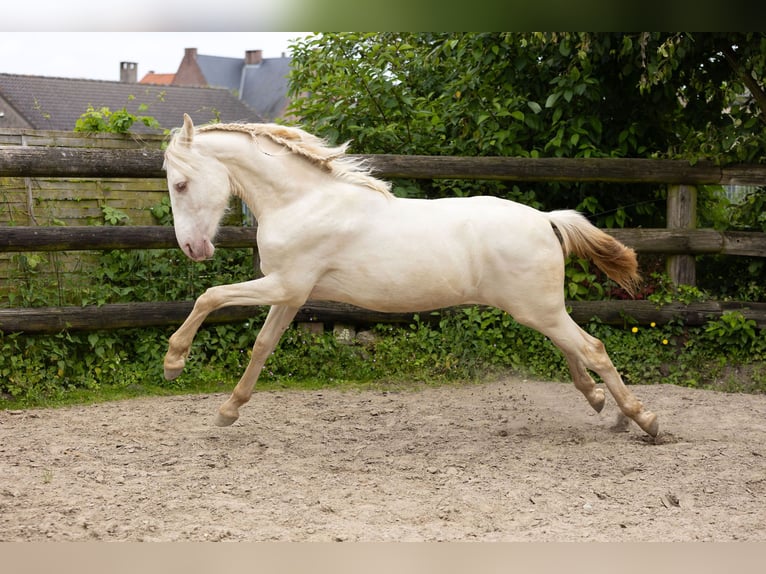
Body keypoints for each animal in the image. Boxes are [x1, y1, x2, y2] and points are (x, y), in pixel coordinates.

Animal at [164, 115, 660, 438]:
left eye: (180, 184)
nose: (192, 249)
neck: (303, 202)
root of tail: (545, 219)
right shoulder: (291, 294)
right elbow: (262, 347)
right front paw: (228, 410)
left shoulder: (285, 284)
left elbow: (210, 296)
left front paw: (174, 362)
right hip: (537, 309)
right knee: (574, 347)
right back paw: (602, 404)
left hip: (538, 308)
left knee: (592, 348)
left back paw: (644, 420)